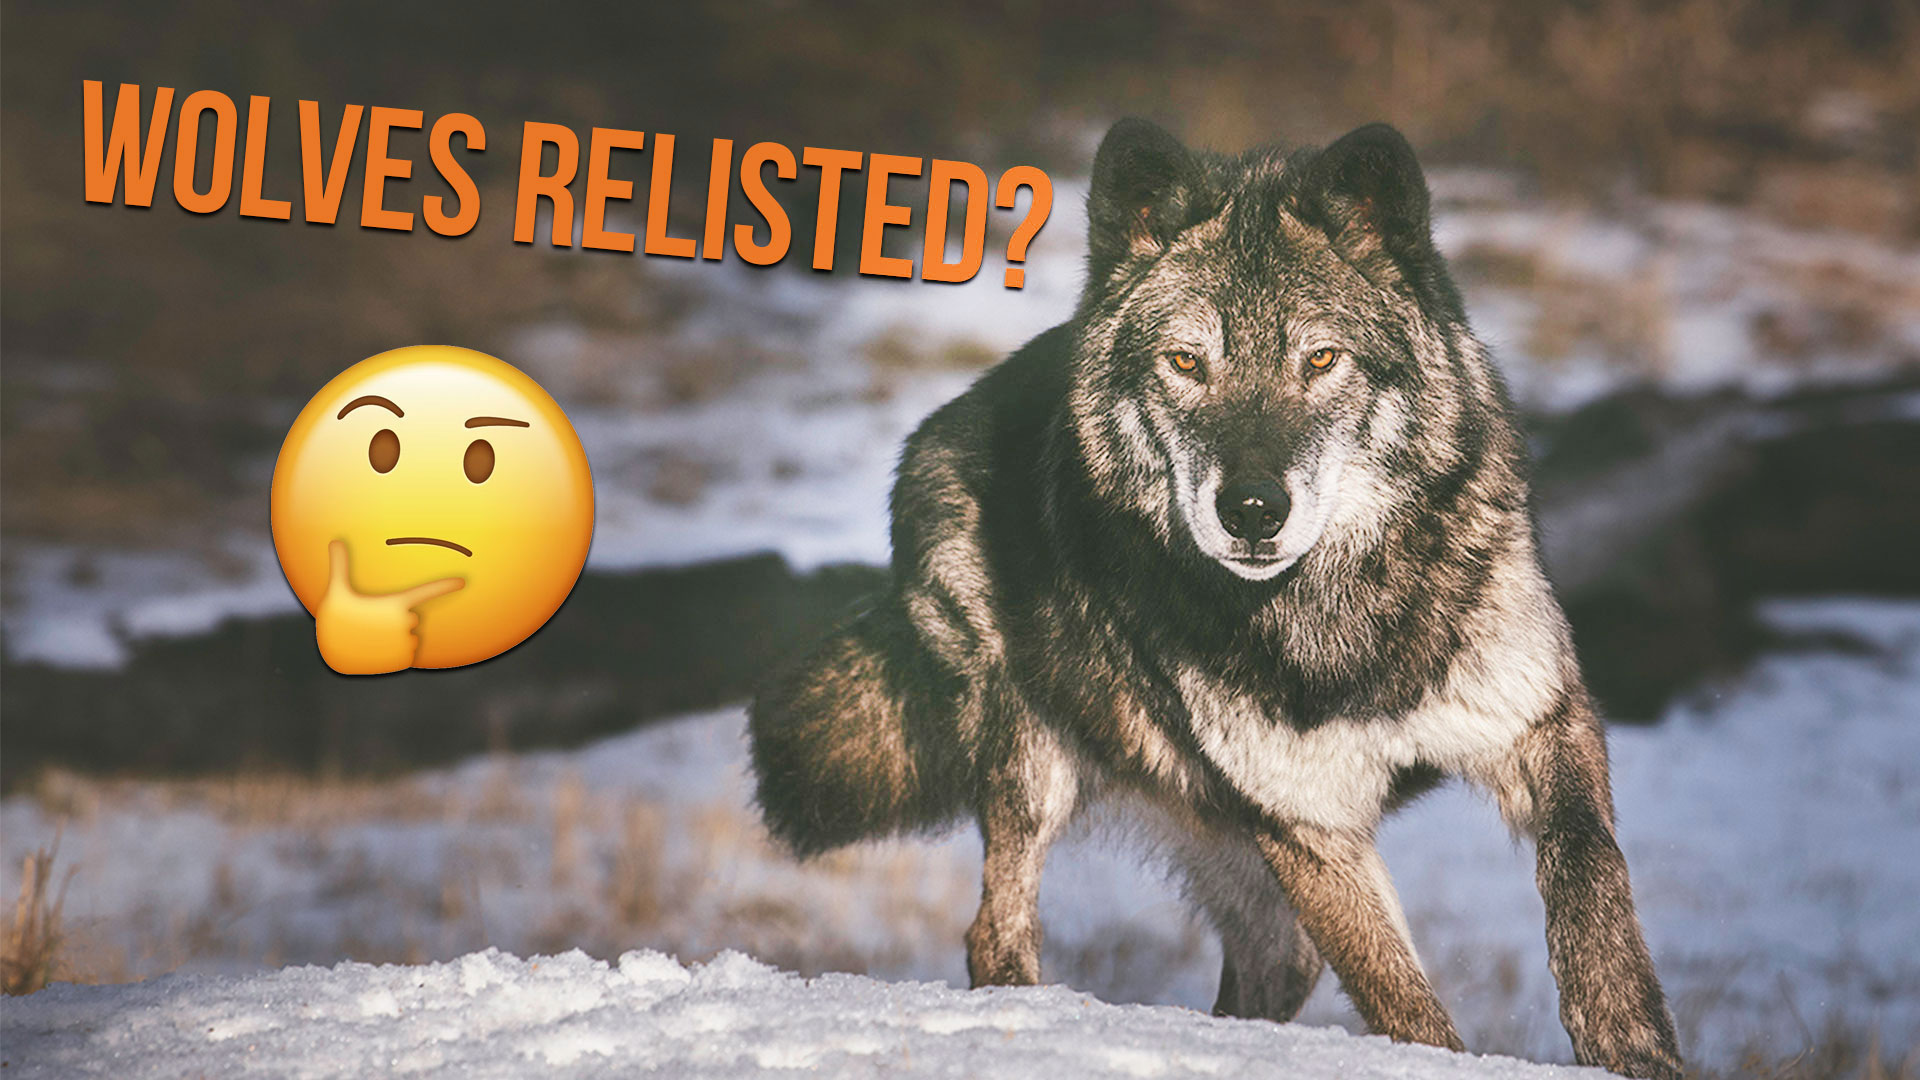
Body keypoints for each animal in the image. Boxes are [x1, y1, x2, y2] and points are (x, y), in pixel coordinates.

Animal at [747, 119, 1682, 1079]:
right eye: (1187, 362)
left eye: (1321, 358)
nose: (1254, 509)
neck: (1337, 620)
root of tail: (936, 430)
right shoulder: (1311, 828)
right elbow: (1403, 1003)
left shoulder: (1543, 717)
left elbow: (1587, 865)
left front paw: (1626, 1035)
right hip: (1036, 770)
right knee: (994, 934)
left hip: (1252, 882)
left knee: (1258, 981)